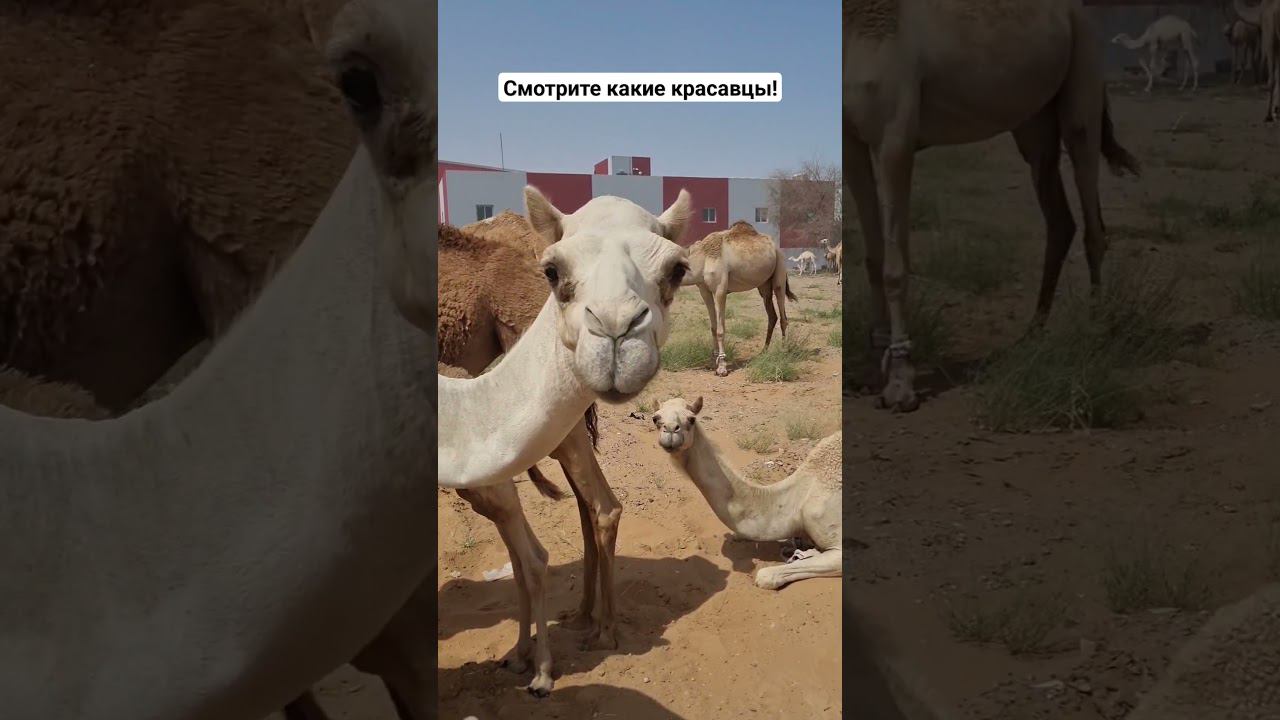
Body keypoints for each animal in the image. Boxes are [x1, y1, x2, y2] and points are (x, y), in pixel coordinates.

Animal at [682, 221, 796, 377]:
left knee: (783, 313)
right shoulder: (704, 290)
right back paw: (763, 351)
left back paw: (783, 352)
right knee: (772, 315)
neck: (702, 257)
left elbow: (720, 330)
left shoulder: (720, 289)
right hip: (764, 285)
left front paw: (722, 367)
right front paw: (713, 362)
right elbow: (713, 327)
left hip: (780, 272)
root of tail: (776, 247)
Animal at [844, 0, 1141, 411]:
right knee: (1060, 218)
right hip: (1033, 123)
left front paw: (901, 383)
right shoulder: (851, 139)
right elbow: (874, 259)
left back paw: (1094, 330)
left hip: (1083, 83)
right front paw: (875, 369)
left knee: (1091, 211)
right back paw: (1032, 334)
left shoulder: (894, 137)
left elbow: (894, 267)